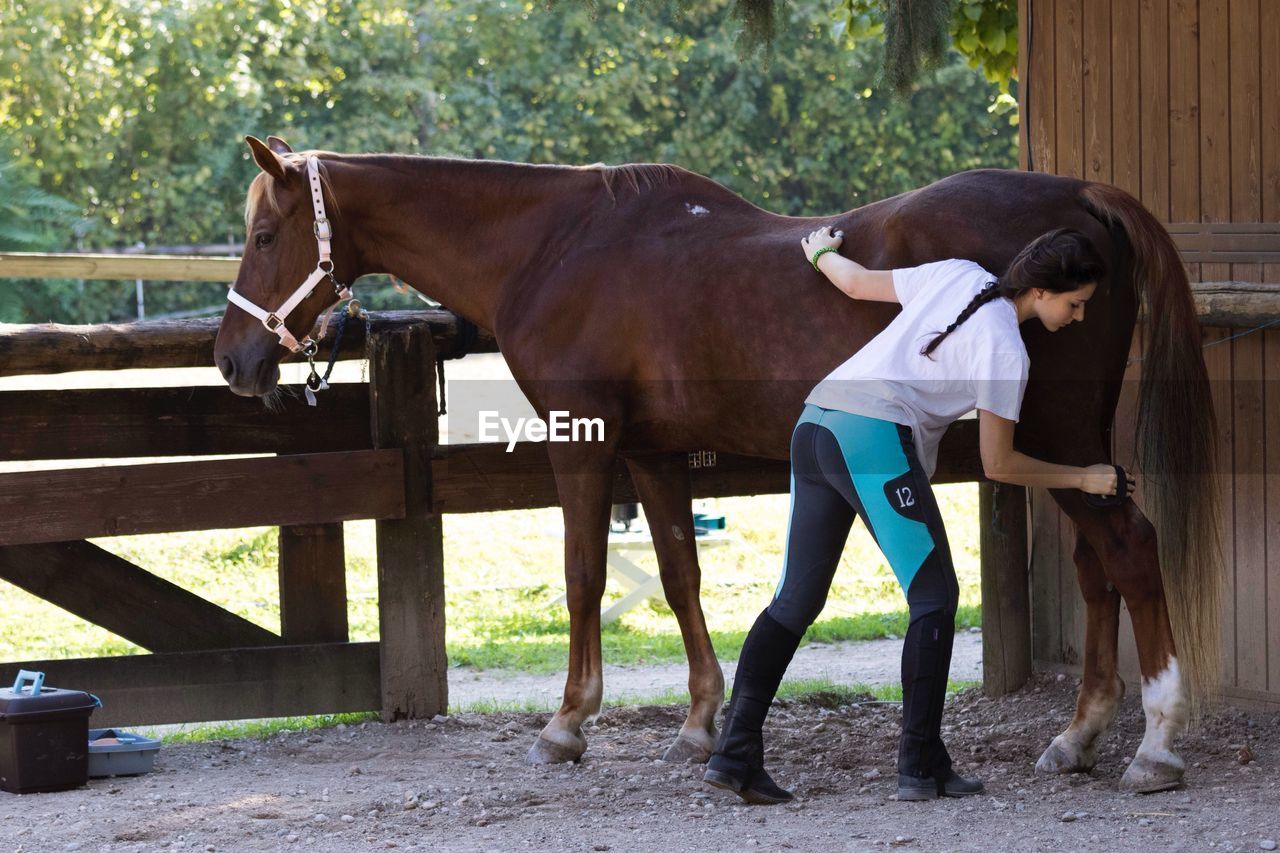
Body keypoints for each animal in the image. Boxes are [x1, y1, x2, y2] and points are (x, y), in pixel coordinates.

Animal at [217, 136, 1218, 794]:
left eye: (265, 237)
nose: (234, 361)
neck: (556, 246)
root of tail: (1084, 193)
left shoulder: (584, 439)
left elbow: (583, 574)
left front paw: (567, 724)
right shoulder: (654, 452)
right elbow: (678, 575)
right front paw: (701, 724)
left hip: (1058, 434)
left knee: (1131, 548)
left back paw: (1155, 745)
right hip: (1066, 448)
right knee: (1097, 567)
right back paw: (1079, 735)